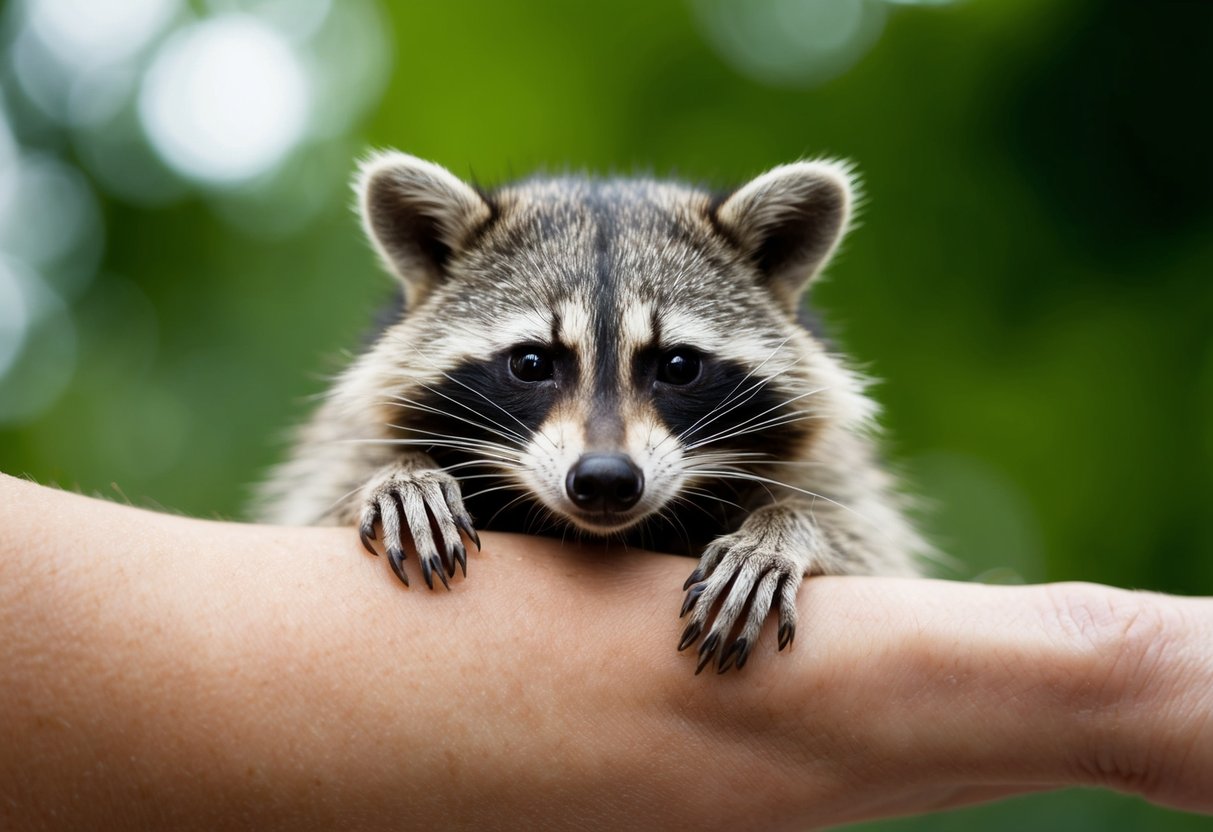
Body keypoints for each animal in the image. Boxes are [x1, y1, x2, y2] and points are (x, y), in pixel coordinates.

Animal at [256, 151, 925, 674]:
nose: (606, 479)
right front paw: (400, 474)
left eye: (678, 365)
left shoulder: (831, 459)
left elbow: (866, 535)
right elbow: (322, 497)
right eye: (531, 362)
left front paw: (781, 529)